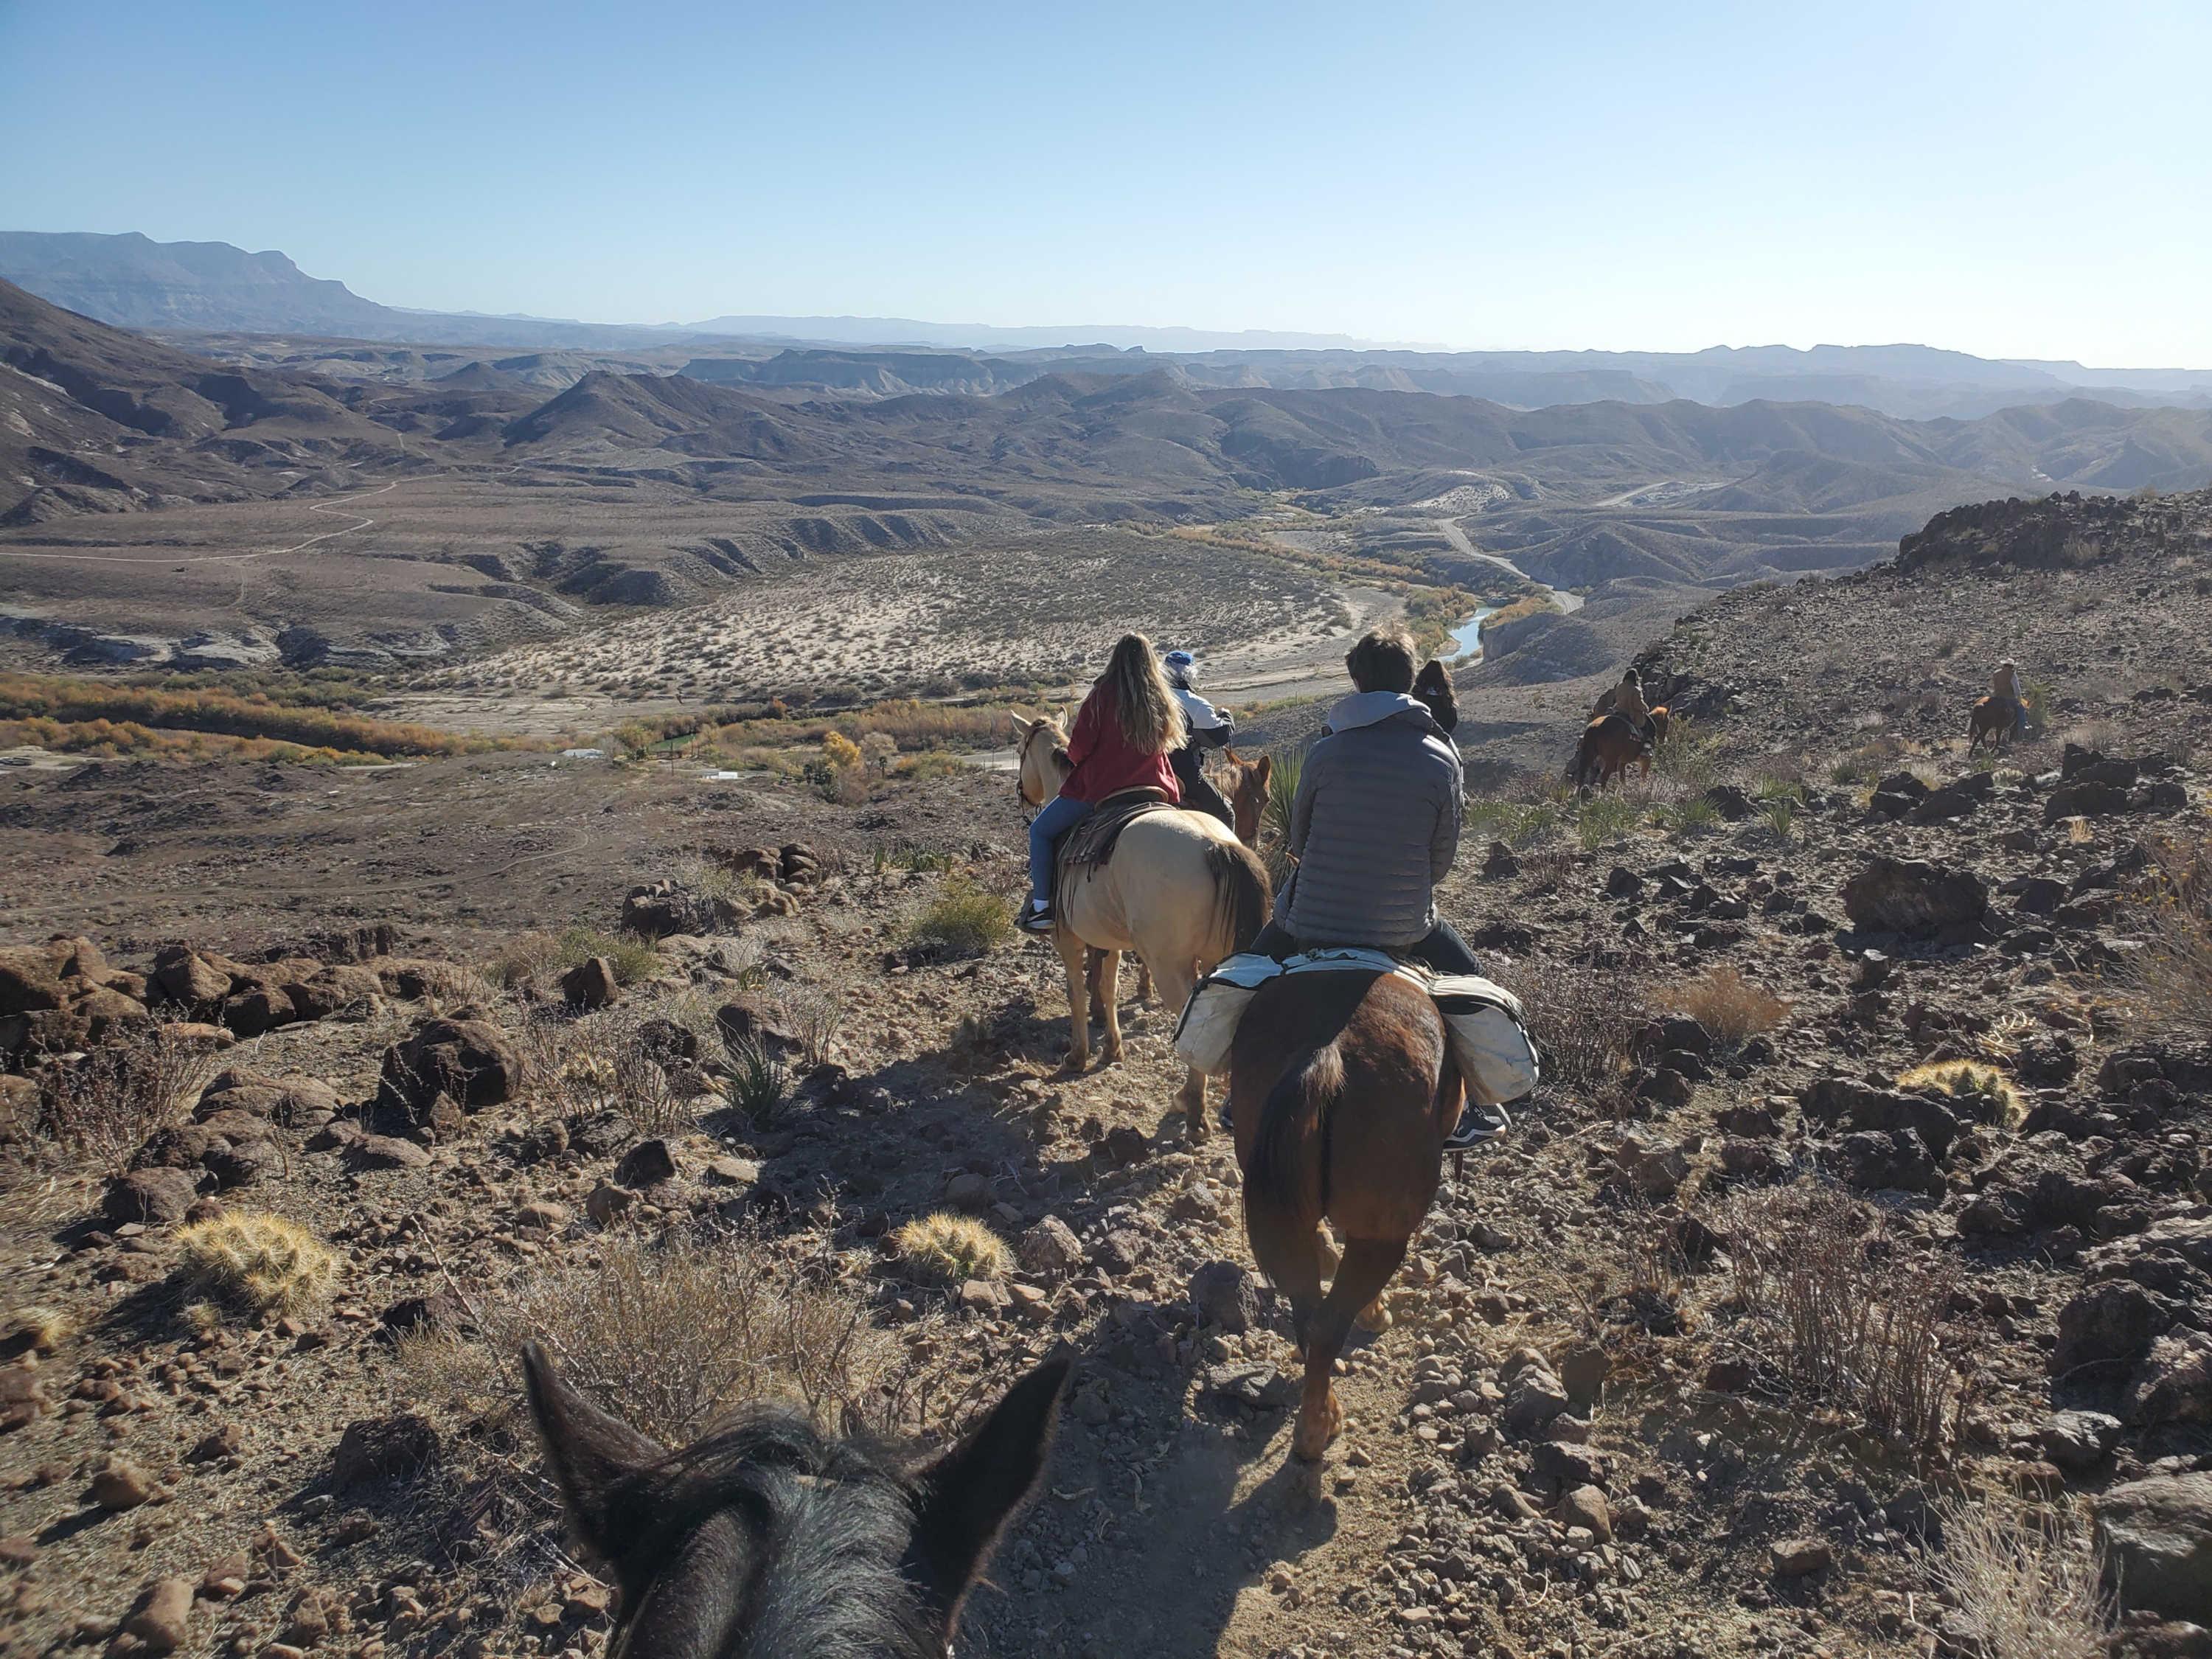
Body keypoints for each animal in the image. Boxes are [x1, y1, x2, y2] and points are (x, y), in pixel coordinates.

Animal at [1013, 708, 1274, 1141]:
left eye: (1020, 750)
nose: (1022, 793)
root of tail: (1216, 845)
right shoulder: (1109, 938)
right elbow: (1107, 986)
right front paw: (1111, 1048)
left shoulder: (1069, 938)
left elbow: (1076, 992)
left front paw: (1078, 1055)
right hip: (1221, 958)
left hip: (1173, 965)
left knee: (1193, 1023)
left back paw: (1193, 1107)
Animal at [1221, 973, 1460, 1469]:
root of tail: (1325, 1050)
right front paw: (1375, 1313)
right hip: (1384, 1236)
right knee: (1330, 1323)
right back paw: (1316, 1431)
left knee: (1308, 1310)